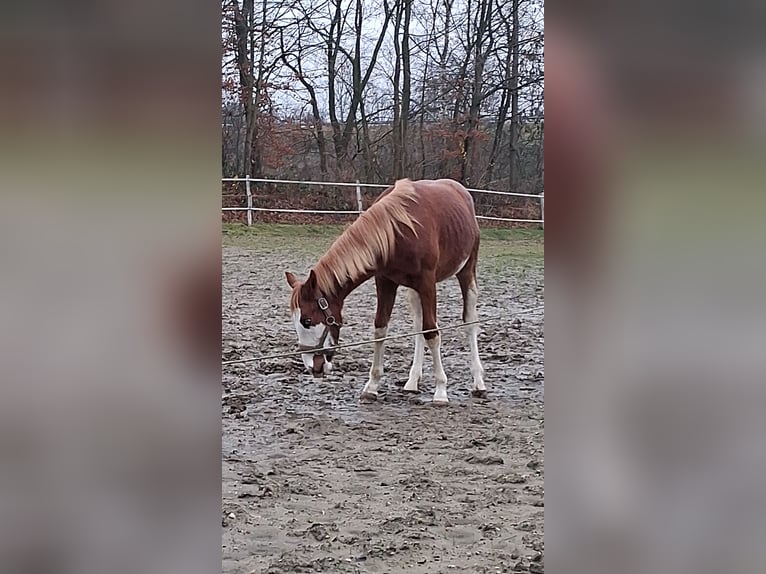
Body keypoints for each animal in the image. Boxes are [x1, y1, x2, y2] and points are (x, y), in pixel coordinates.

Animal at [284, 178, 485, 405]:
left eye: (307, 321)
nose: (313, 368)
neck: (398, 230)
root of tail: (460, 190)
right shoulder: (385, 281)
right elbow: (381, 329)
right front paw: (372, 386)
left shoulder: (427, 282)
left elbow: (432, 332)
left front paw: (441, 391)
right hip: (414, 291)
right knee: (418, 326)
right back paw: (412, 381)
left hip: (466, 272)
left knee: (469, 322)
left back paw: (478, 383)